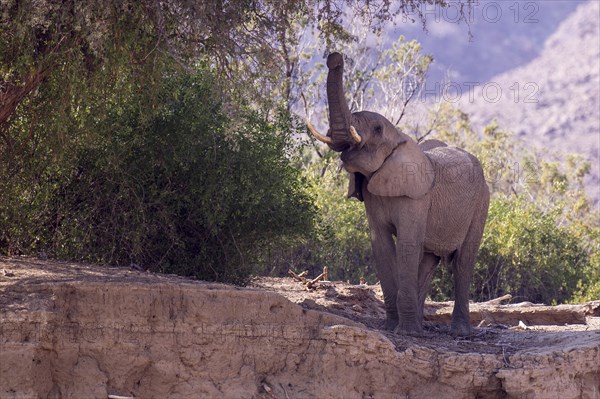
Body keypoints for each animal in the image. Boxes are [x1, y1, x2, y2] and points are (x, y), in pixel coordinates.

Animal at [308, 51, 490, 336]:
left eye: (377, 129)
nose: (335, 57)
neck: (400, 138)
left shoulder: (417, 197)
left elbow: (406, 245)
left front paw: (406, 333)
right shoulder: (372, 196)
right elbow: (381, 245)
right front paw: (394, 327)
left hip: (481, 203)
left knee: (462, 262)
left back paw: (458, 332)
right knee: (428, 260)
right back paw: (421, 325)